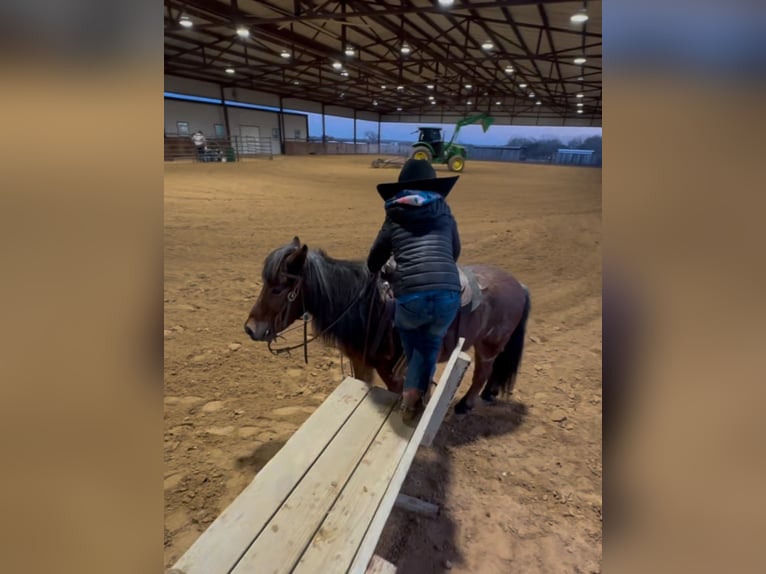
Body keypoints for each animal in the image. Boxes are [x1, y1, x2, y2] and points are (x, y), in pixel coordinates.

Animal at [243, 236, 532, 416]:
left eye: (278, 288)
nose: (250, 329)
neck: (368, 306)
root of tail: (519, 285)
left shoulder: (394, 372)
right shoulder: (361, 362)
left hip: (489, 346)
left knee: (482, 373)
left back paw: (465, 405)